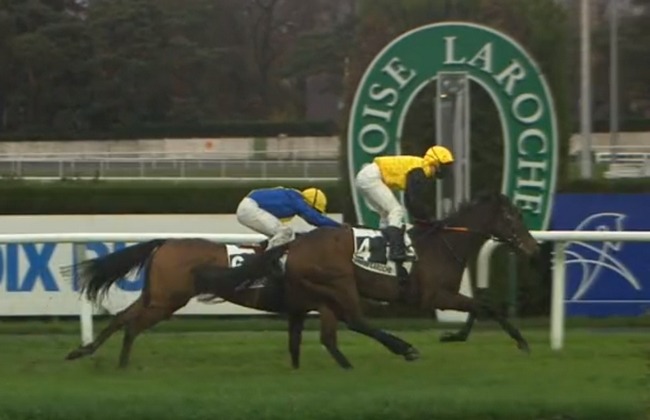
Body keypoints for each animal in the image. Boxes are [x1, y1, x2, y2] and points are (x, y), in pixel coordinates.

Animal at [61, 237, 290, 368]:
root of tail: (166, 242)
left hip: (155, 296)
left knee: (122, 318)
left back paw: (90, 353)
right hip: (167, 301)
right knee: (133, 325)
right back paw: (119, 363)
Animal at [192, 192, 541, 369]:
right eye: (513, 217)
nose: (533, 247)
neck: (443, 245)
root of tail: (294, 245)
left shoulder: (444, 296)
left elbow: (477, 307)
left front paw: (454, 335)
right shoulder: (434, 296)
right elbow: (484, 306)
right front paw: (521, 342)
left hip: (324, 292)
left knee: (333, 330)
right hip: (341, 282)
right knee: (357, 320)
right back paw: (404, 348)